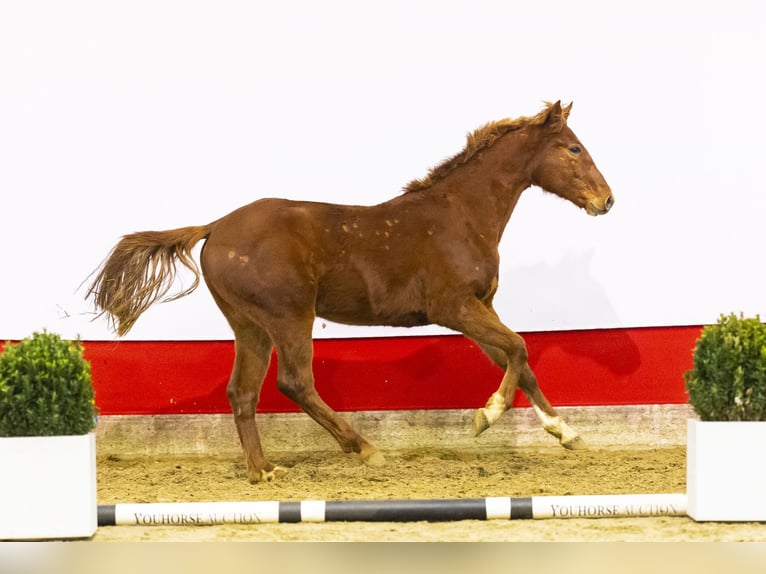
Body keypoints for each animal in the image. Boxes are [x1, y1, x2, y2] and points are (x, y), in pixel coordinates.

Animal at [88, 101, 616, 484]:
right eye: (573, 148)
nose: (606, 200)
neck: (461, 216)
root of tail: (215, 226)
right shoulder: (455, 307)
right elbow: (519, 347)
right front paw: (485, 416)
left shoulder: (480, 307)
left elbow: (519, 361)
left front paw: (568, 433)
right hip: (289, 315)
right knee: (294, 382)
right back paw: (364, 449)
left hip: (249, 324)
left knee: (242, 391)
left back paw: (264, 471)